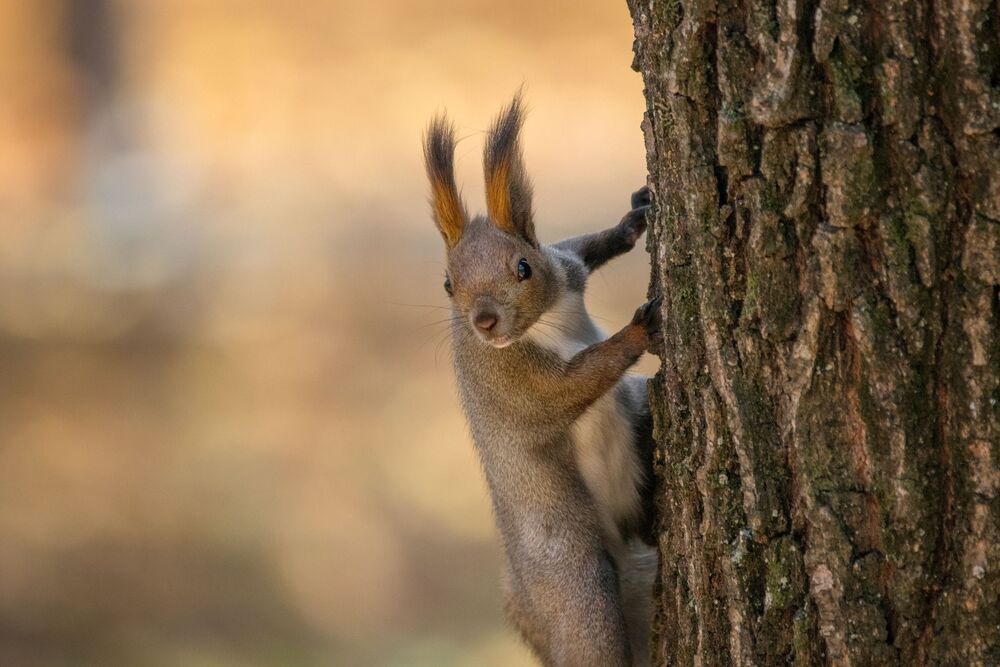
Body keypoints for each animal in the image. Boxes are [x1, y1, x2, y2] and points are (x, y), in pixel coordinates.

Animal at [423, 94, 661, 667]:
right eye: (448, 284)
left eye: (524, 267)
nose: (484, 322)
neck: (549, 320)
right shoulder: (515, 384)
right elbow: (576, 383)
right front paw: (639, 329)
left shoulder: (566, 265)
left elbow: (584, 247)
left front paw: (631, 221)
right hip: (579, 587)